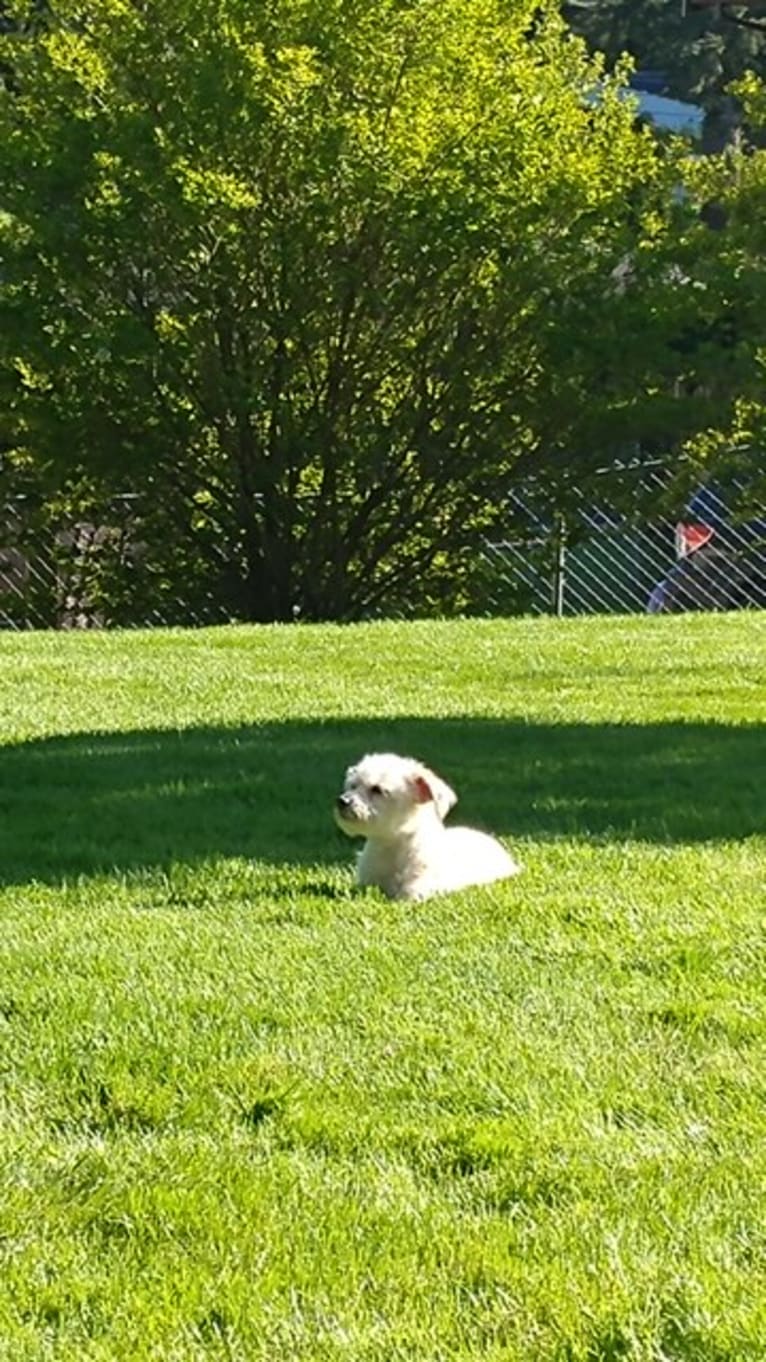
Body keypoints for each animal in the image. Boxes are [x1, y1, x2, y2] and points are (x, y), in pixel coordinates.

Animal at [333, 751, 517, 898]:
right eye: (352, 786)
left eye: (377, 789)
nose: (342, 801)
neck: (391, 847)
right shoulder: (366, 883)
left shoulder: (420, 887)